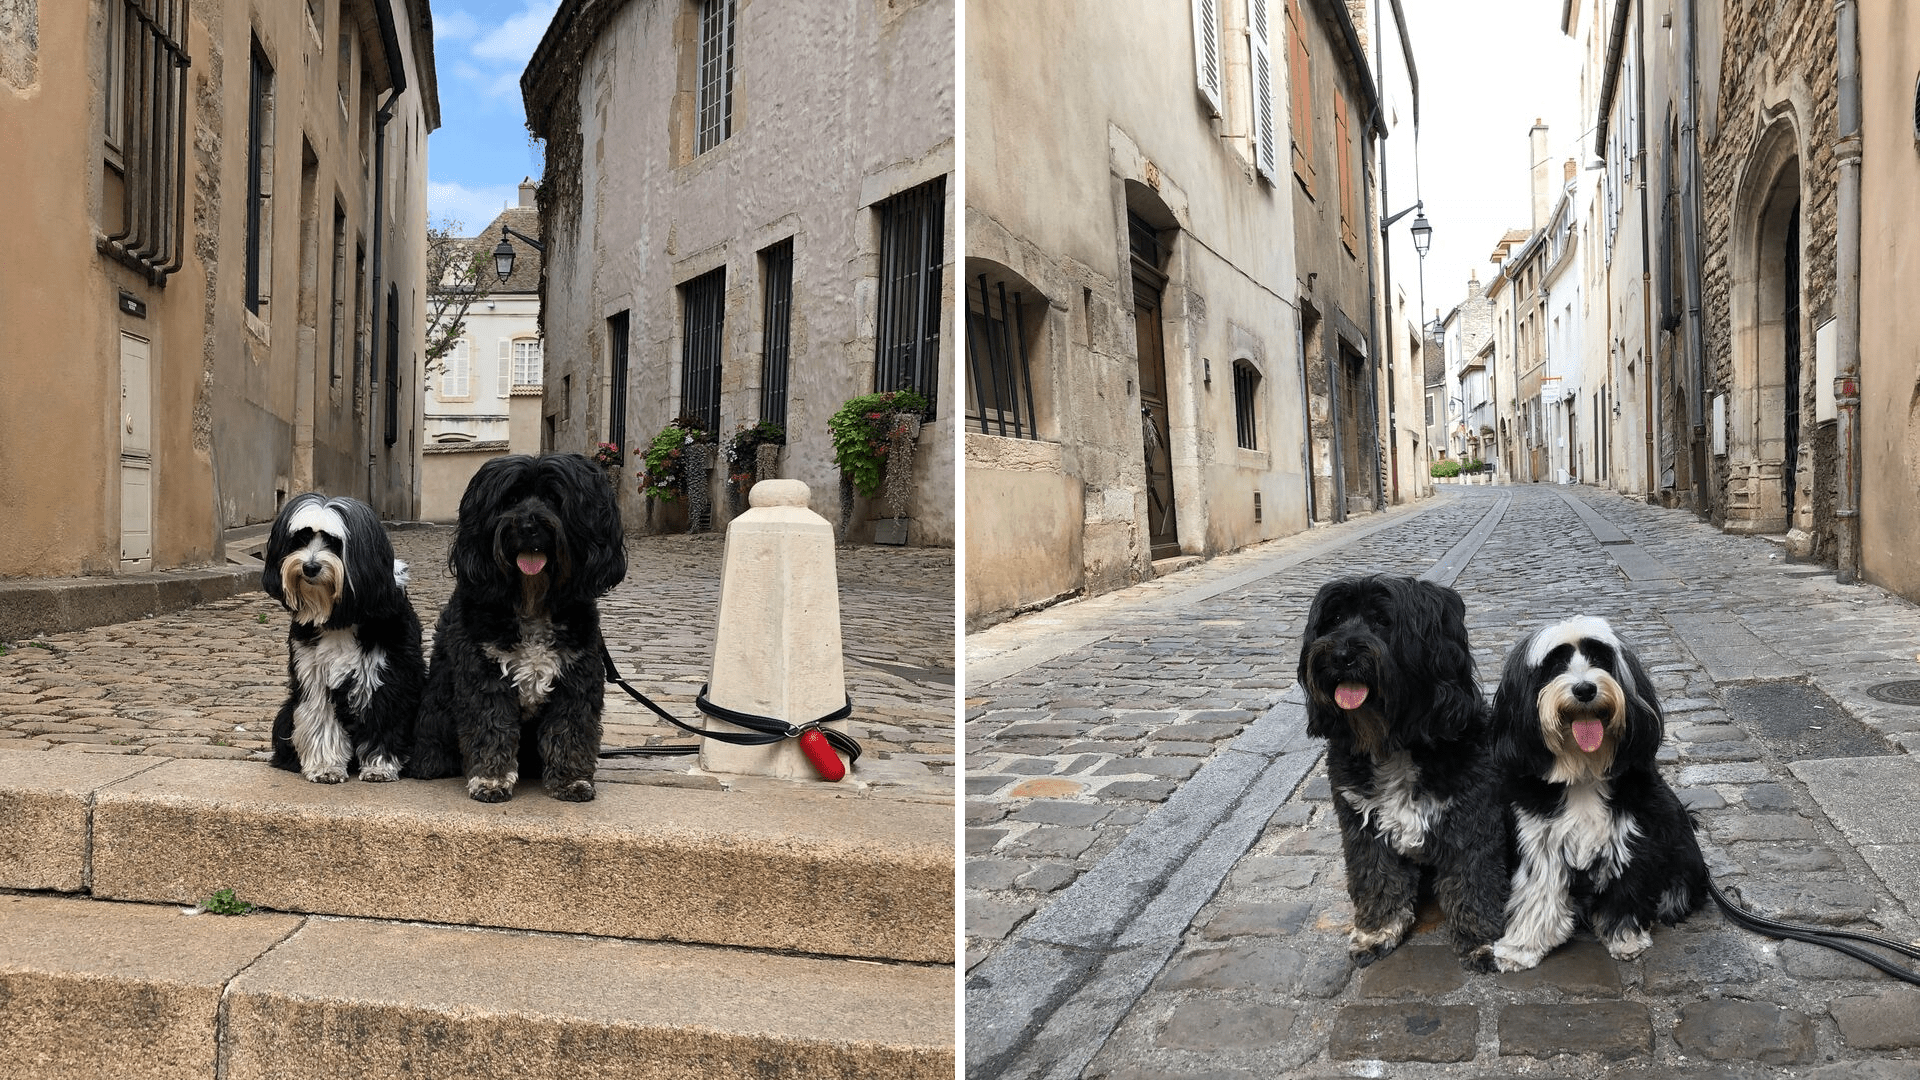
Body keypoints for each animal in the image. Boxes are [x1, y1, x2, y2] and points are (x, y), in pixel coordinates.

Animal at [259, 491, 424, 776]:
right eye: (300, 539)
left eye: (334, 543)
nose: (310, 567)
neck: (341, 619)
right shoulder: (313, 674)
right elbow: (320, 720)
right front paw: (325, 766)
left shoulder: (384, 673)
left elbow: (383, 717)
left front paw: (380, 765)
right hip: (286, 712)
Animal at [408, 451, 625, 799]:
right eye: (509, 499)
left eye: (553, 498)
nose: (527, 525)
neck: (531, 600)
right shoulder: (484, 674)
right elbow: (491, 727)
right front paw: (491, 780)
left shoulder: (577, 677)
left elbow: (571, 729)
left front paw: (571, 780)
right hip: (437, 707)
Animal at [1297, 572, 1505, 968]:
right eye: (1332, 620)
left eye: (1382, 621)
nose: (1341, 655)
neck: (1393, 743)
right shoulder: (1362, 826)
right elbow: (1378, 878)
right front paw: (1377, 931)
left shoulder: (1474, 823)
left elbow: (1475, 880)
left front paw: (1482, 939)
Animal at [1482, 614, 1712, 968]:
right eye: (1554, 665)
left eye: (1600, 659)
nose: (1585, 689)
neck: (1583, 771)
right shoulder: (1542, 838)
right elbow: (1537, 894)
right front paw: (1522, 946)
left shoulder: (1630, 834)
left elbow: (1626, 889)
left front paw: (1625, 937)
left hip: (1682, 844)